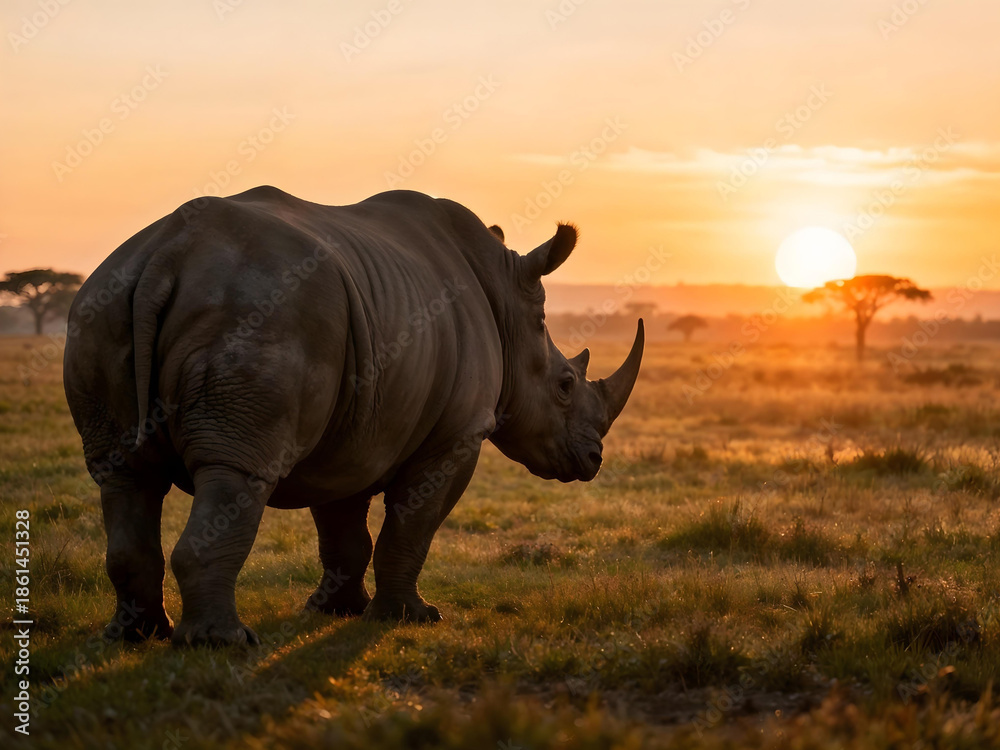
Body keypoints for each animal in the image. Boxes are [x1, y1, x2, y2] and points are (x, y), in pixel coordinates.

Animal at [63, 187, 644, 647]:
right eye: (565, 387)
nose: (592, 459)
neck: (507, 304)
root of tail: (168, 253)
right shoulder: (457, 433)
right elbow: (412, 526)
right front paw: (413, 618)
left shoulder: (351, 429)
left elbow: (344, 527)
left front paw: (337, 611)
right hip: (258, 311)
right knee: (238, 472)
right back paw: (221, 643)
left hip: (101, 307)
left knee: (124, 475)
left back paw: (136, 637)